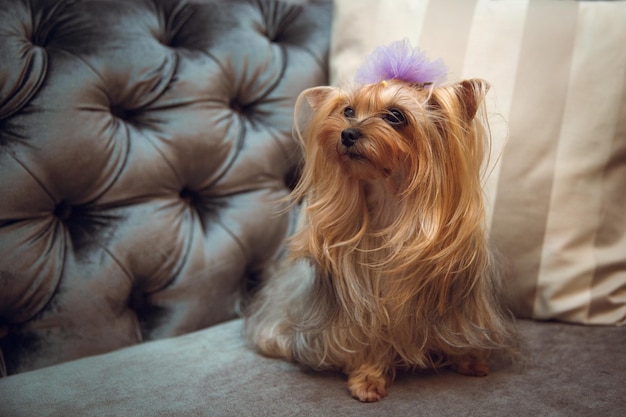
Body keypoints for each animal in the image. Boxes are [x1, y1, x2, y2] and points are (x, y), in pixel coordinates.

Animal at [244, 41, 516, 400]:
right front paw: (368, 379)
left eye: (395, 116)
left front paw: (469, 359)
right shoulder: (361, 306)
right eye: (348, 111)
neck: (390, 199)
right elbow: (365, 335)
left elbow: (456, 332)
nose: (347, 134)